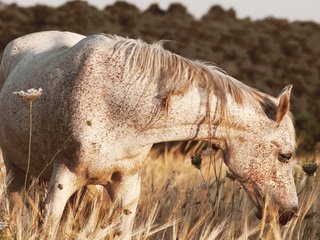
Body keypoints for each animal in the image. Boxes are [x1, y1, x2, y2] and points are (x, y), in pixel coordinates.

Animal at [0, 31, 298, 238]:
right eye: (285, 155)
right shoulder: (63, 179)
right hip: (16, 172)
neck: (119, 104)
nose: (289, 213)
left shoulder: (127, 186)